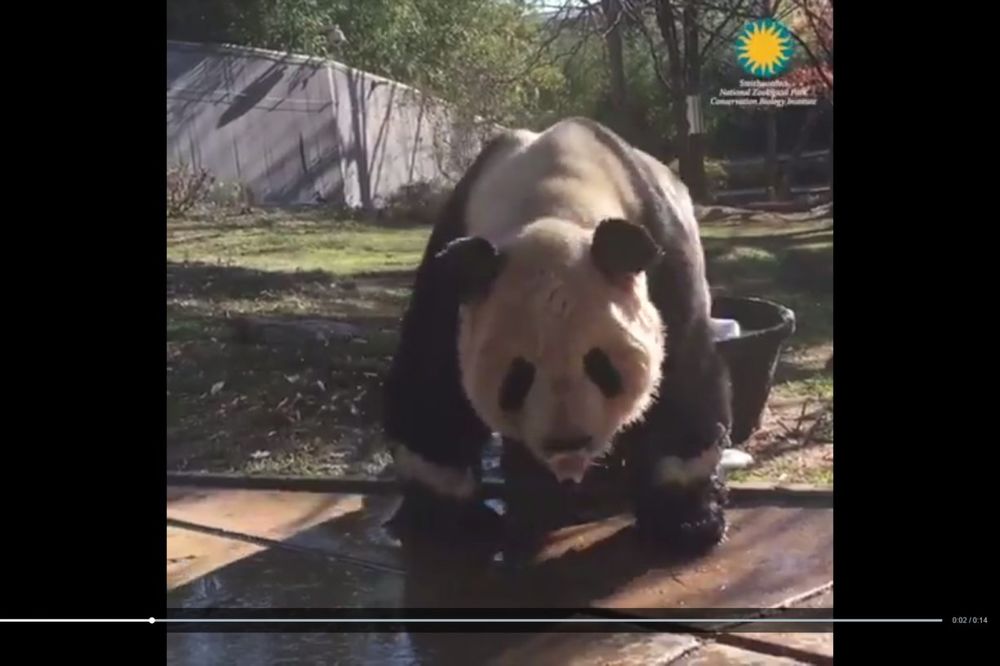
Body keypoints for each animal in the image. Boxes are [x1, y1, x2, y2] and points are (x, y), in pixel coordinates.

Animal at [384, 116, 736, 552]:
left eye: (602, 366)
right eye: (517, 377)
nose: (568, 443)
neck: (554, 200)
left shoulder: (665, 251)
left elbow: (683, 374)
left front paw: (688, 521)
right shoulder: (452, 266)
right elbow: (433, 387)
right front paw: (445, 525)